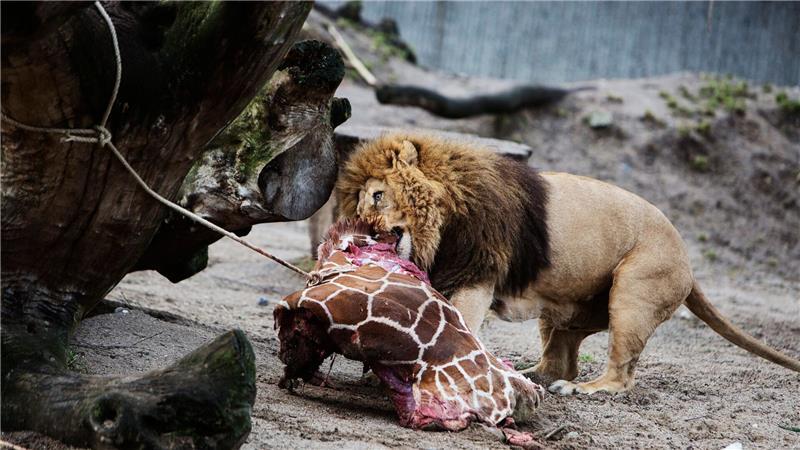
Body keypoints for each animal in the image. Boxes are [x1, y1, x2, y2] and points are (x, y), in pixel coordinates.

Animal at [335, 133, 800, 395]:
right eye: (359, 205)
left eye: (377, 196)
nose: (363, 230)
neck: (443, 222)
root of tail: (688, 258)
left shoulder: (476, 276)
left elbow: (457, 325)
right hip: (564, 310)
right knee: (559, 359)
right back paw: (530, 374)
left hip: (634, 293)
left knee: (620, 376)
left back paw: (583, 390)